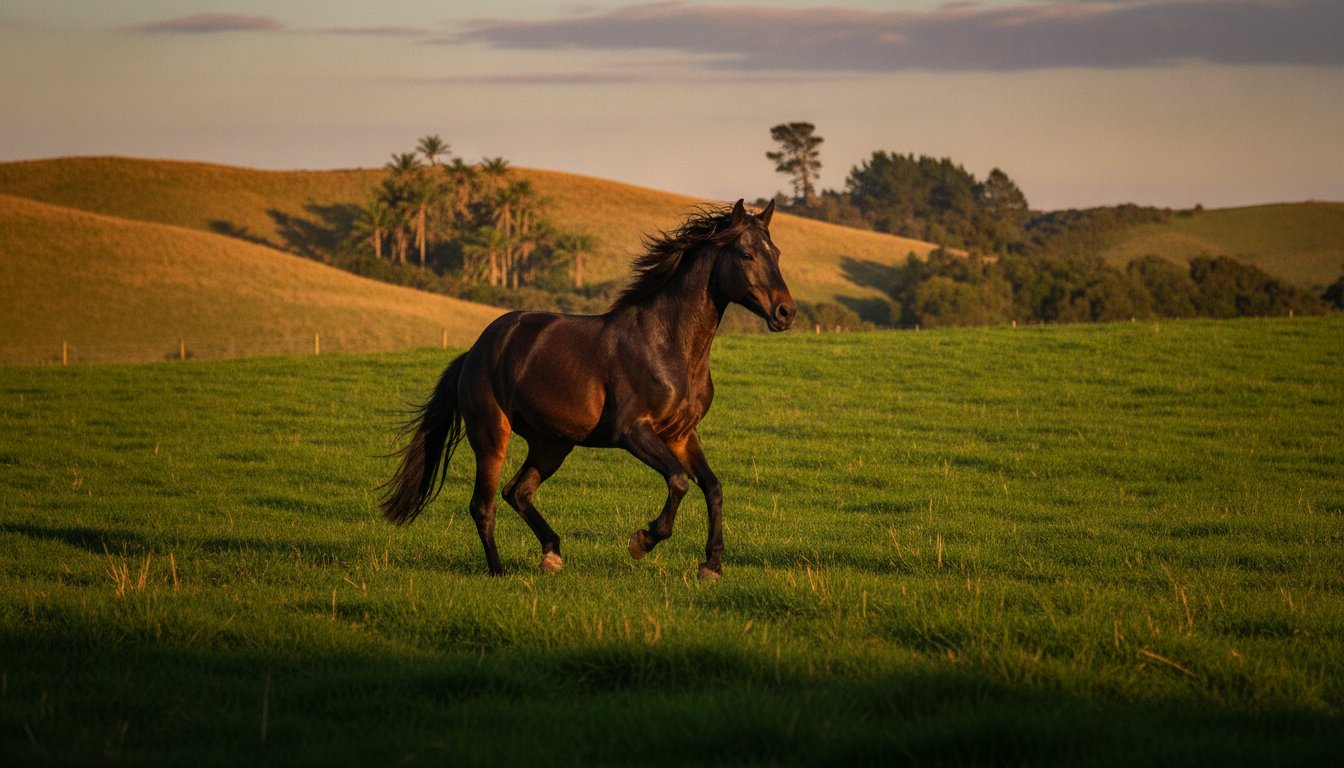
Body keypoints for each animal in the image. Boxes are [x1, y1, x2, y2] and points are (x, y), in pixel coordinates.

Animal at [379, 199, 795, 579]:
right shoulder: (633, 432)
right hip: (492, 435)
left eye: (776, 252)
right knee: (484, 505)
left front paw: (711, 566)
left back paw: (552, 555)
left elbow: (713, 486)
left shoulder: (681, 435)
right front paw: (642, 541)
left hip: (552, 444)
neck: (667, 346)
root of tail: (474, 352)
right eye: (746, 254)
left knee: (517, 491)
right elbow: (678, 481)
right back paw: (499, 571)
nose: (785, 312)